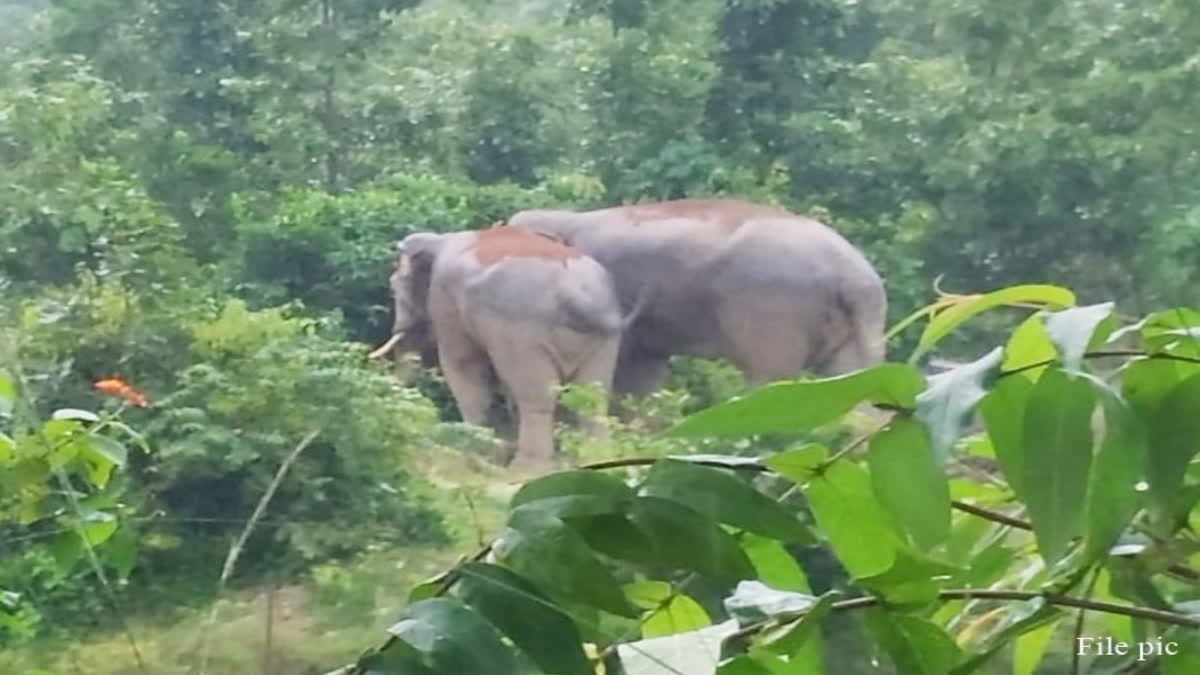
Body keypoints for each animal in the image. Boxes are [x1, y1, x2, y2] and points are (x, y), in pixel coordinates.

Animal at [369, 225, 648, 468]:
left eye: (394, 288)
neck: (441, 239)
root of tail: (578, 296)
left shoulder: (445, 300)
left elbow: (461, 364)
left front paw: (476, 448)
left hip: (525, 331)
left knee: (536, 397)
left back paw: (527, 468)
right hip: (604, 340)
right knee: (593, 395)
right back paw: (595, 459)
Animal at [506, 194, 892, 393]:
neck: (565, 218)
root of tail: (855, 278)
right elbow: (642, 376)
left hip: (773, 309)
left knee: (768, 378)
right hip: (859, 328)